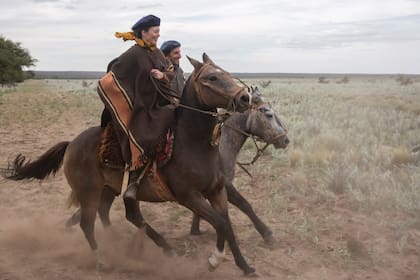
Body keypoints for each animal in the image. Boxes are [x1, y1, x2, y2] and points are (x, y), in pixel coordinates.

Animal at [2, 53, 256, 274]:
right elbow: (221, 224)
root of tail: (72, 143)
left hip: (110, 189)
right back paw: (103, 260)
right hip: (89, 192)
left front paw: (245, 266)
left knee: (123, 215)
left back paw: (132, 245)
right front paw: (215, 260)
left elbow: (227, 224)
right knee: (88, 224)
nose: (245, 98)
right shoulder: (189, 196)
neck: (193, 143)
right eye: (212, 78)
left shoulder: (217, 190)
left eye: (226, 72)